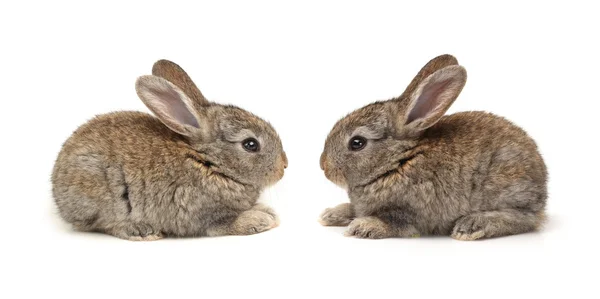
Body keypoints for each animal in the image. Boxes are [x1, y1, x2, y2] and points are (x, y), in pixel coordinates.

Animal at [50, 60, 288, 241]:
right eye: (250, 144)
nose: (284, 166)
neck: (207, 161)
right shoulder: (206, 215)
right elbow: (225, 224)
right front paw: (260, 219)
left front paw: (266, 211)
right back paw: (142, 231)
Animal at [322, 54, 548, 241]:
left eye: (357, 143)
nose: (324, 166)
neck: (399, 160)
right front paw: (331, 214)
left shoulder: (410, 212)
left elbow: (394, 223)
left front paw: (361, 227)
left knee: (525, 218)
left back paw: (472, 225)